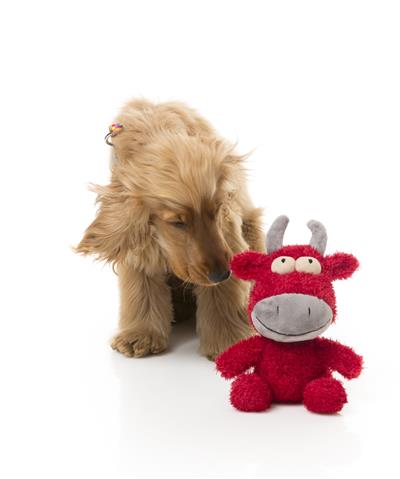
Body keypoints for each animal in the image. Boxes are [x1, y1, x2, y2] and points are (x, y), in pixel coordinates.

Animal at [76, 99, 264, 359]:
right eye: (178, 222)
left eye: (216, 210)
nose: (220, 274)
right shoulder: (140, 238)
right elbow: (141, 285)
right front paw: (140, 336)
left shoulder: (228, 231)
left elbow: (223, 294)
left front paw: (229, 342)